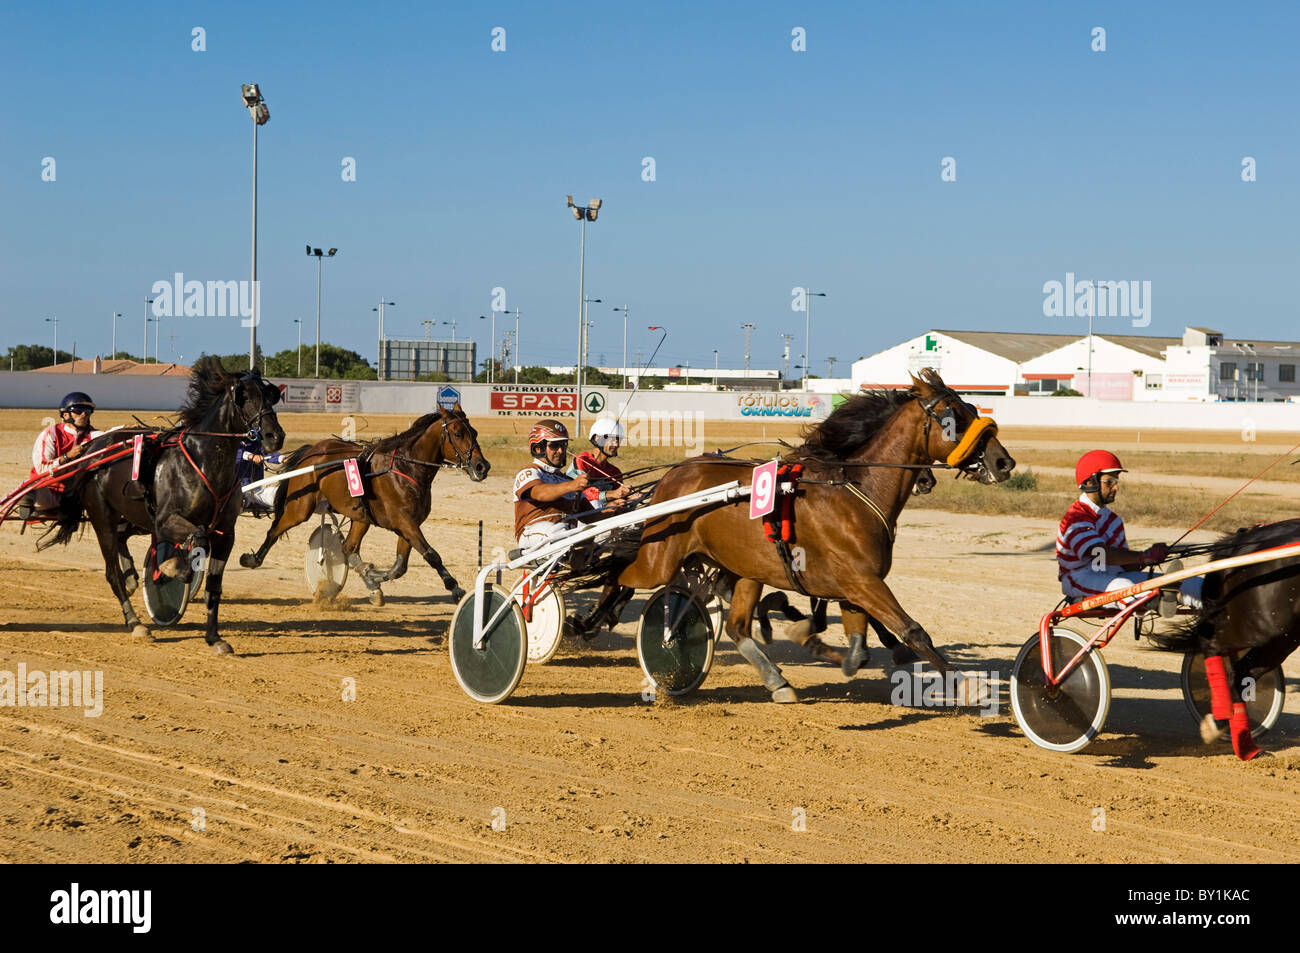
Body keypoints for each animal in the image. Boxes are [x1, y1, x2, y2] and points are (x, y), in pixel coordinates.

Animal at [43, 356, 284, 655]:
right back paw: (135, 623)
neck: (205, 462)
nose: (275, 436)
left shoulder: (225, 532)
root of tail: (92, 450)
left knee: (123, 543)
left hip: (133, 517)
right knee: (112, 573)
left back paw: (133, 578)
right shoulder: (166, 520)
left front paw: (214, 638)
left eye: (271, 396)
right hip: (102, 519)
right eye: (244, 397)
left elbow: (214, 586)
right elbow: (196, 539)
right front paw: (172, 567)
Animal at [237, 408, 488, 603]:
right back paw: (251, 559)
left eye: (475, 432)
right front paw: (455, 587)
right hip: (299, 508)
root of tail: (312, 452)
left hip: (360, 516)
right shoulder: (404, 522)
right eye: (458, 433)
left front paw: (373, 576)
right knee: (275, 530)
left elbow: (400, 566)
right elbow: (431, 555)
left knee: (348, 548)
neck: (405, 468)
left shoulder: (410, 524)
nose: (482, 466)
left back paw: (371, 585)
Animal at [616, 369, 1013, 702]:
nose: (1003, 462)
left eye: (972, 407)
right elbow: (912, 631)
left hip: (746, 569)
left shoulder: (855, 585)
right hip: (658, 560)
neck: (856, 492)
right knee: (621, 578)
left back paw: (778, 682)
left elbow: (858, 650)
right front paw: (969, 687)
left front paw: (812, 639)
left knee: (738, 627)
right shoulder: (861, 580)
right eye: (952, 417)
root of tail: (675, 473)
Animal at [1154, 517, 1300, 764]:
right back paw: (1222, 722)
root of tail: (1244, 541)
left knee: (1240, 673)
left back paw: (1244, 745)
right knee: (1212, 645)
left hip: (1284, 636)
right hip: (1265, 625)